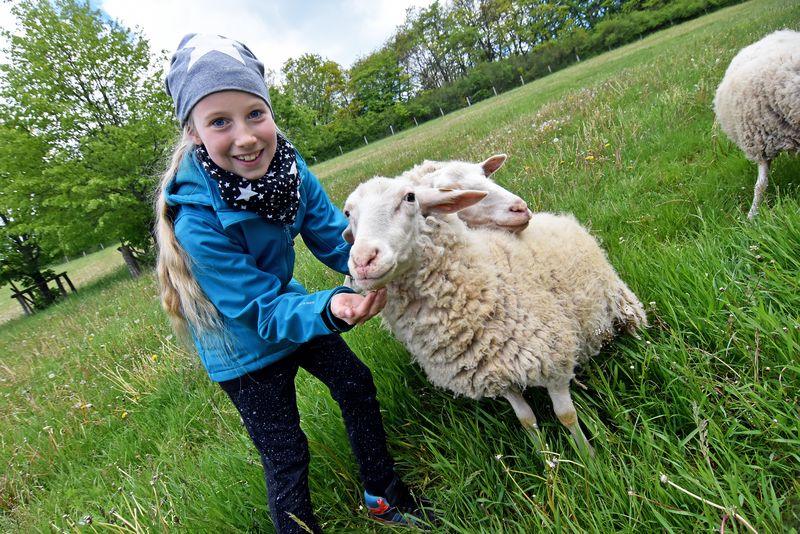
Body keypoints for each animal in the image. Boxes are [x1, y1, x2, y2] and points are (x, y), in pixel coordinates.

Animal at [340, 179, 648, 456]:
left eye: (410, 197)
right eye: (348, 213)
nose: (363, 260)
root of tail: (556, 216)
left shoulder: (554, 358)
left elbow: (566, 415)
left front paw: (589, 460)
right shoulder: (494, 370)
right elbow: (526, 420)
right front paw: (547, 460)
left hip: (619, 302)